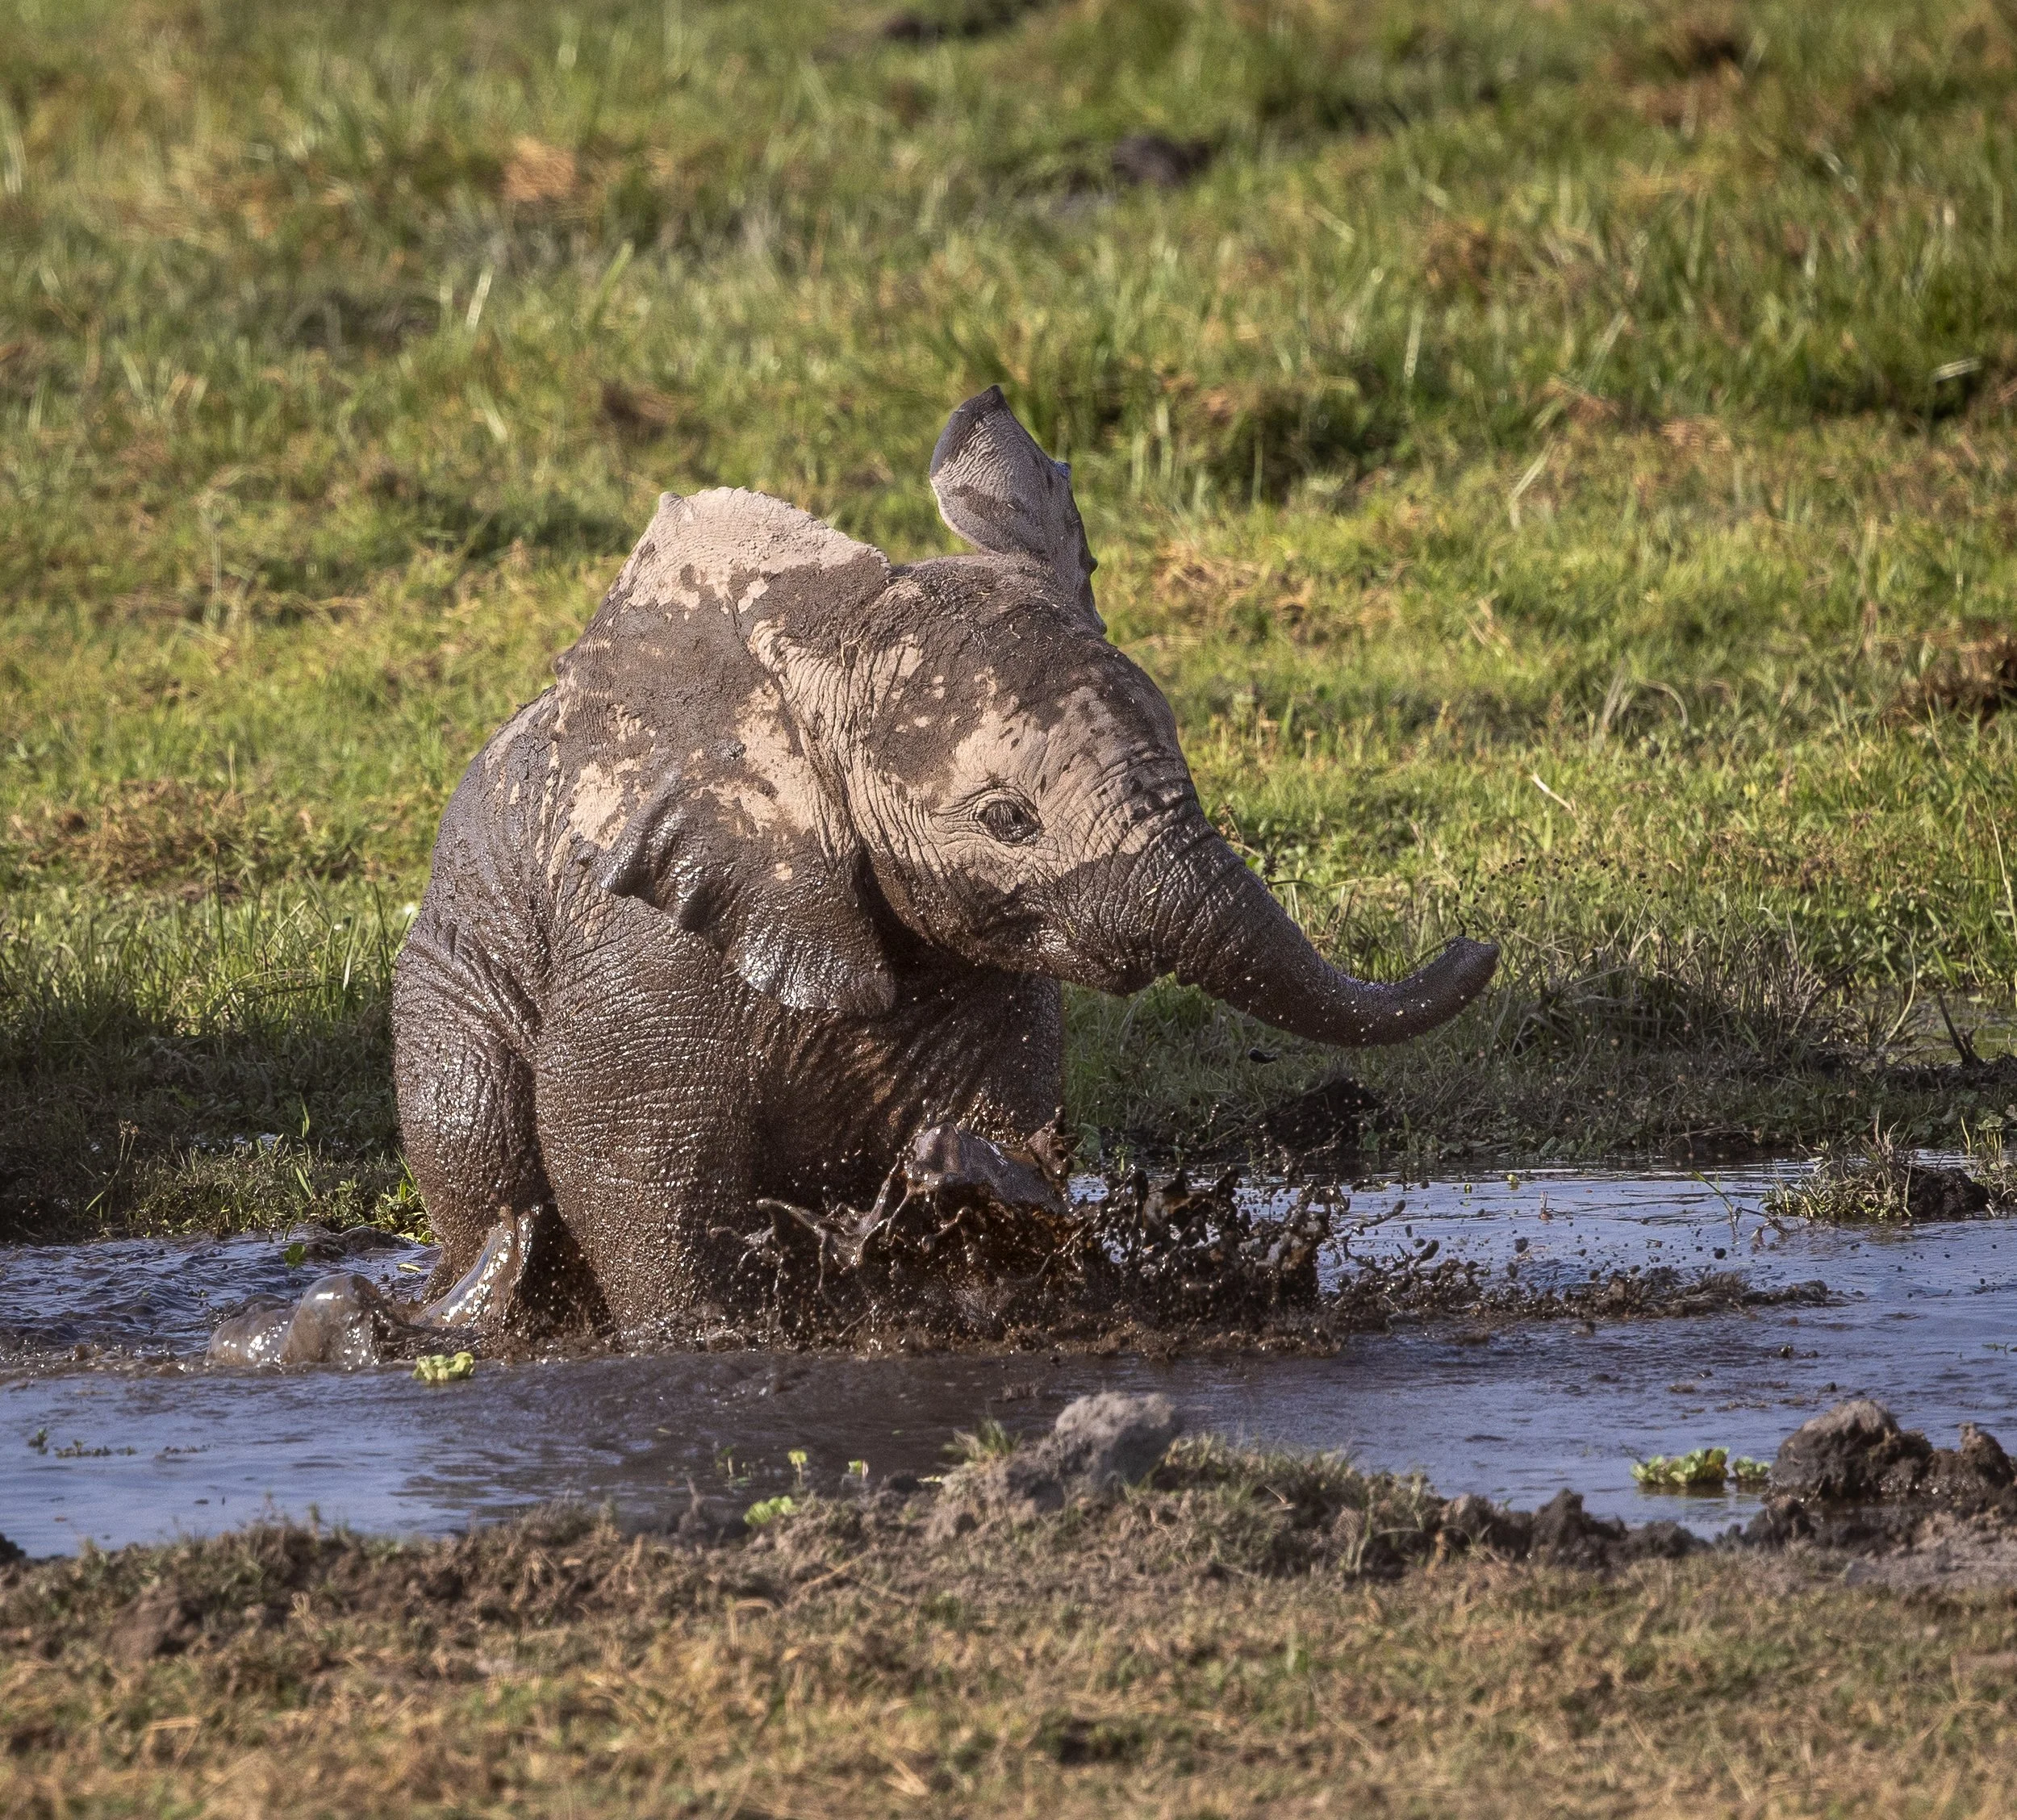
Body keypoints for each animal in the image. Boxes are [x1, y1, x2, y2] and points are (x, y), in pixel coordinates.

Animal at [391, 388, 1497, 1335]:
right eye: (1008, 819)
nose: (1478, 944)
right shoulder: (650, 949)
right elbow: (629, 1165)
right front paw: (707, 1342)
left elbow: (999, 1133)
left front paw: (962, 1183)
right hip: (453, 978)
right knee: (476, 1137)